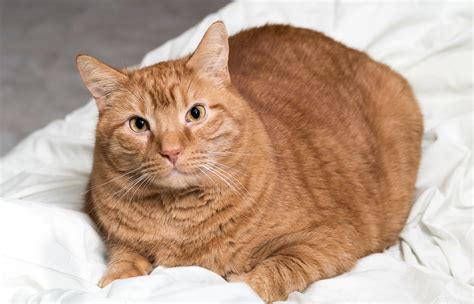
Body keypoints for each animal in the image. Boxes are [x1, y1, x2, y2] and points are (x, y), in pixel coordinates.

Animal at [77, 22, 422, 302]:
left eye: (195, 113)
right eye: (138, 125)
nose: (171, 150)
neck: (179, 218)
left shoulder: (331, 239)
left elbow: (273, 273)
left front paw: (242, 281)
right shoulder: (114, 234)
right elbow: (122, 263)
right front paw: (116, 281)